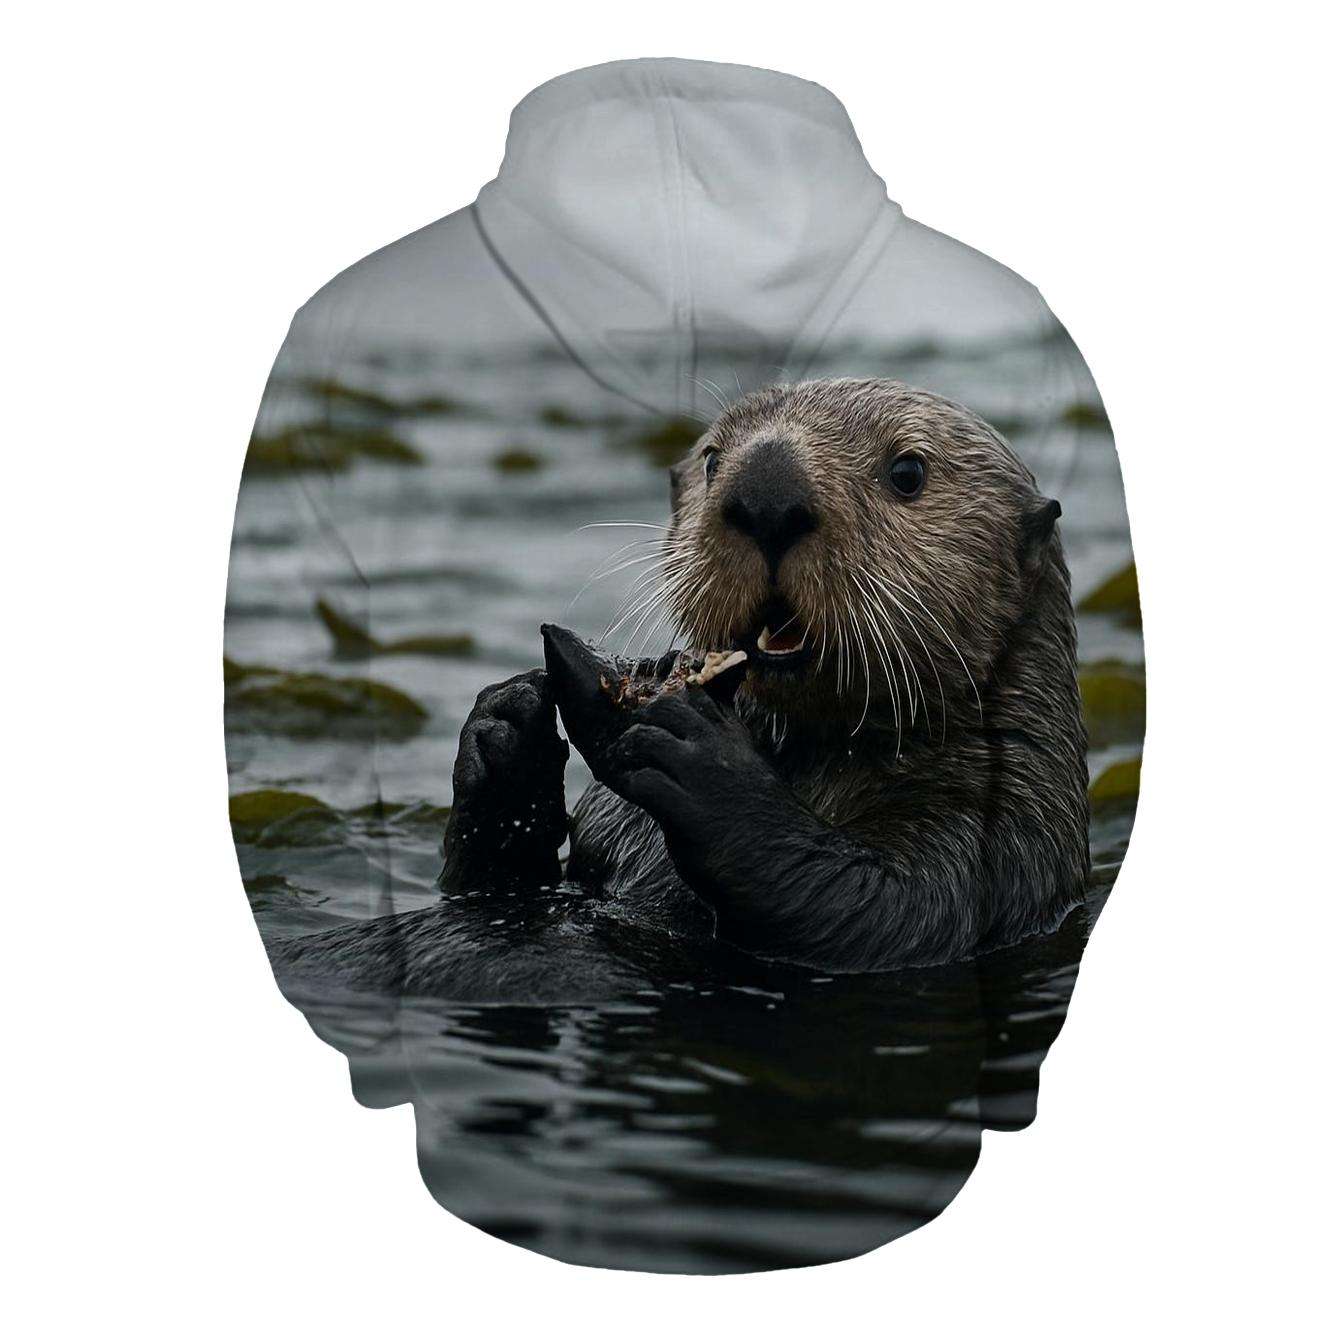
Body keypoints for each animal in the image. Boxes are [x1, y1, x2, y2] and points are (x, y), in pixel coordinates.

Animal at [436, 378, 1089, 973]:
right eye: (712, 459)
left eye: (907, 472)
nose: (767, 498)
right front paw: (506, 731)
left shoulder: (997, 838)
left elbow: (883, 910)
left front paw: (707, 759)